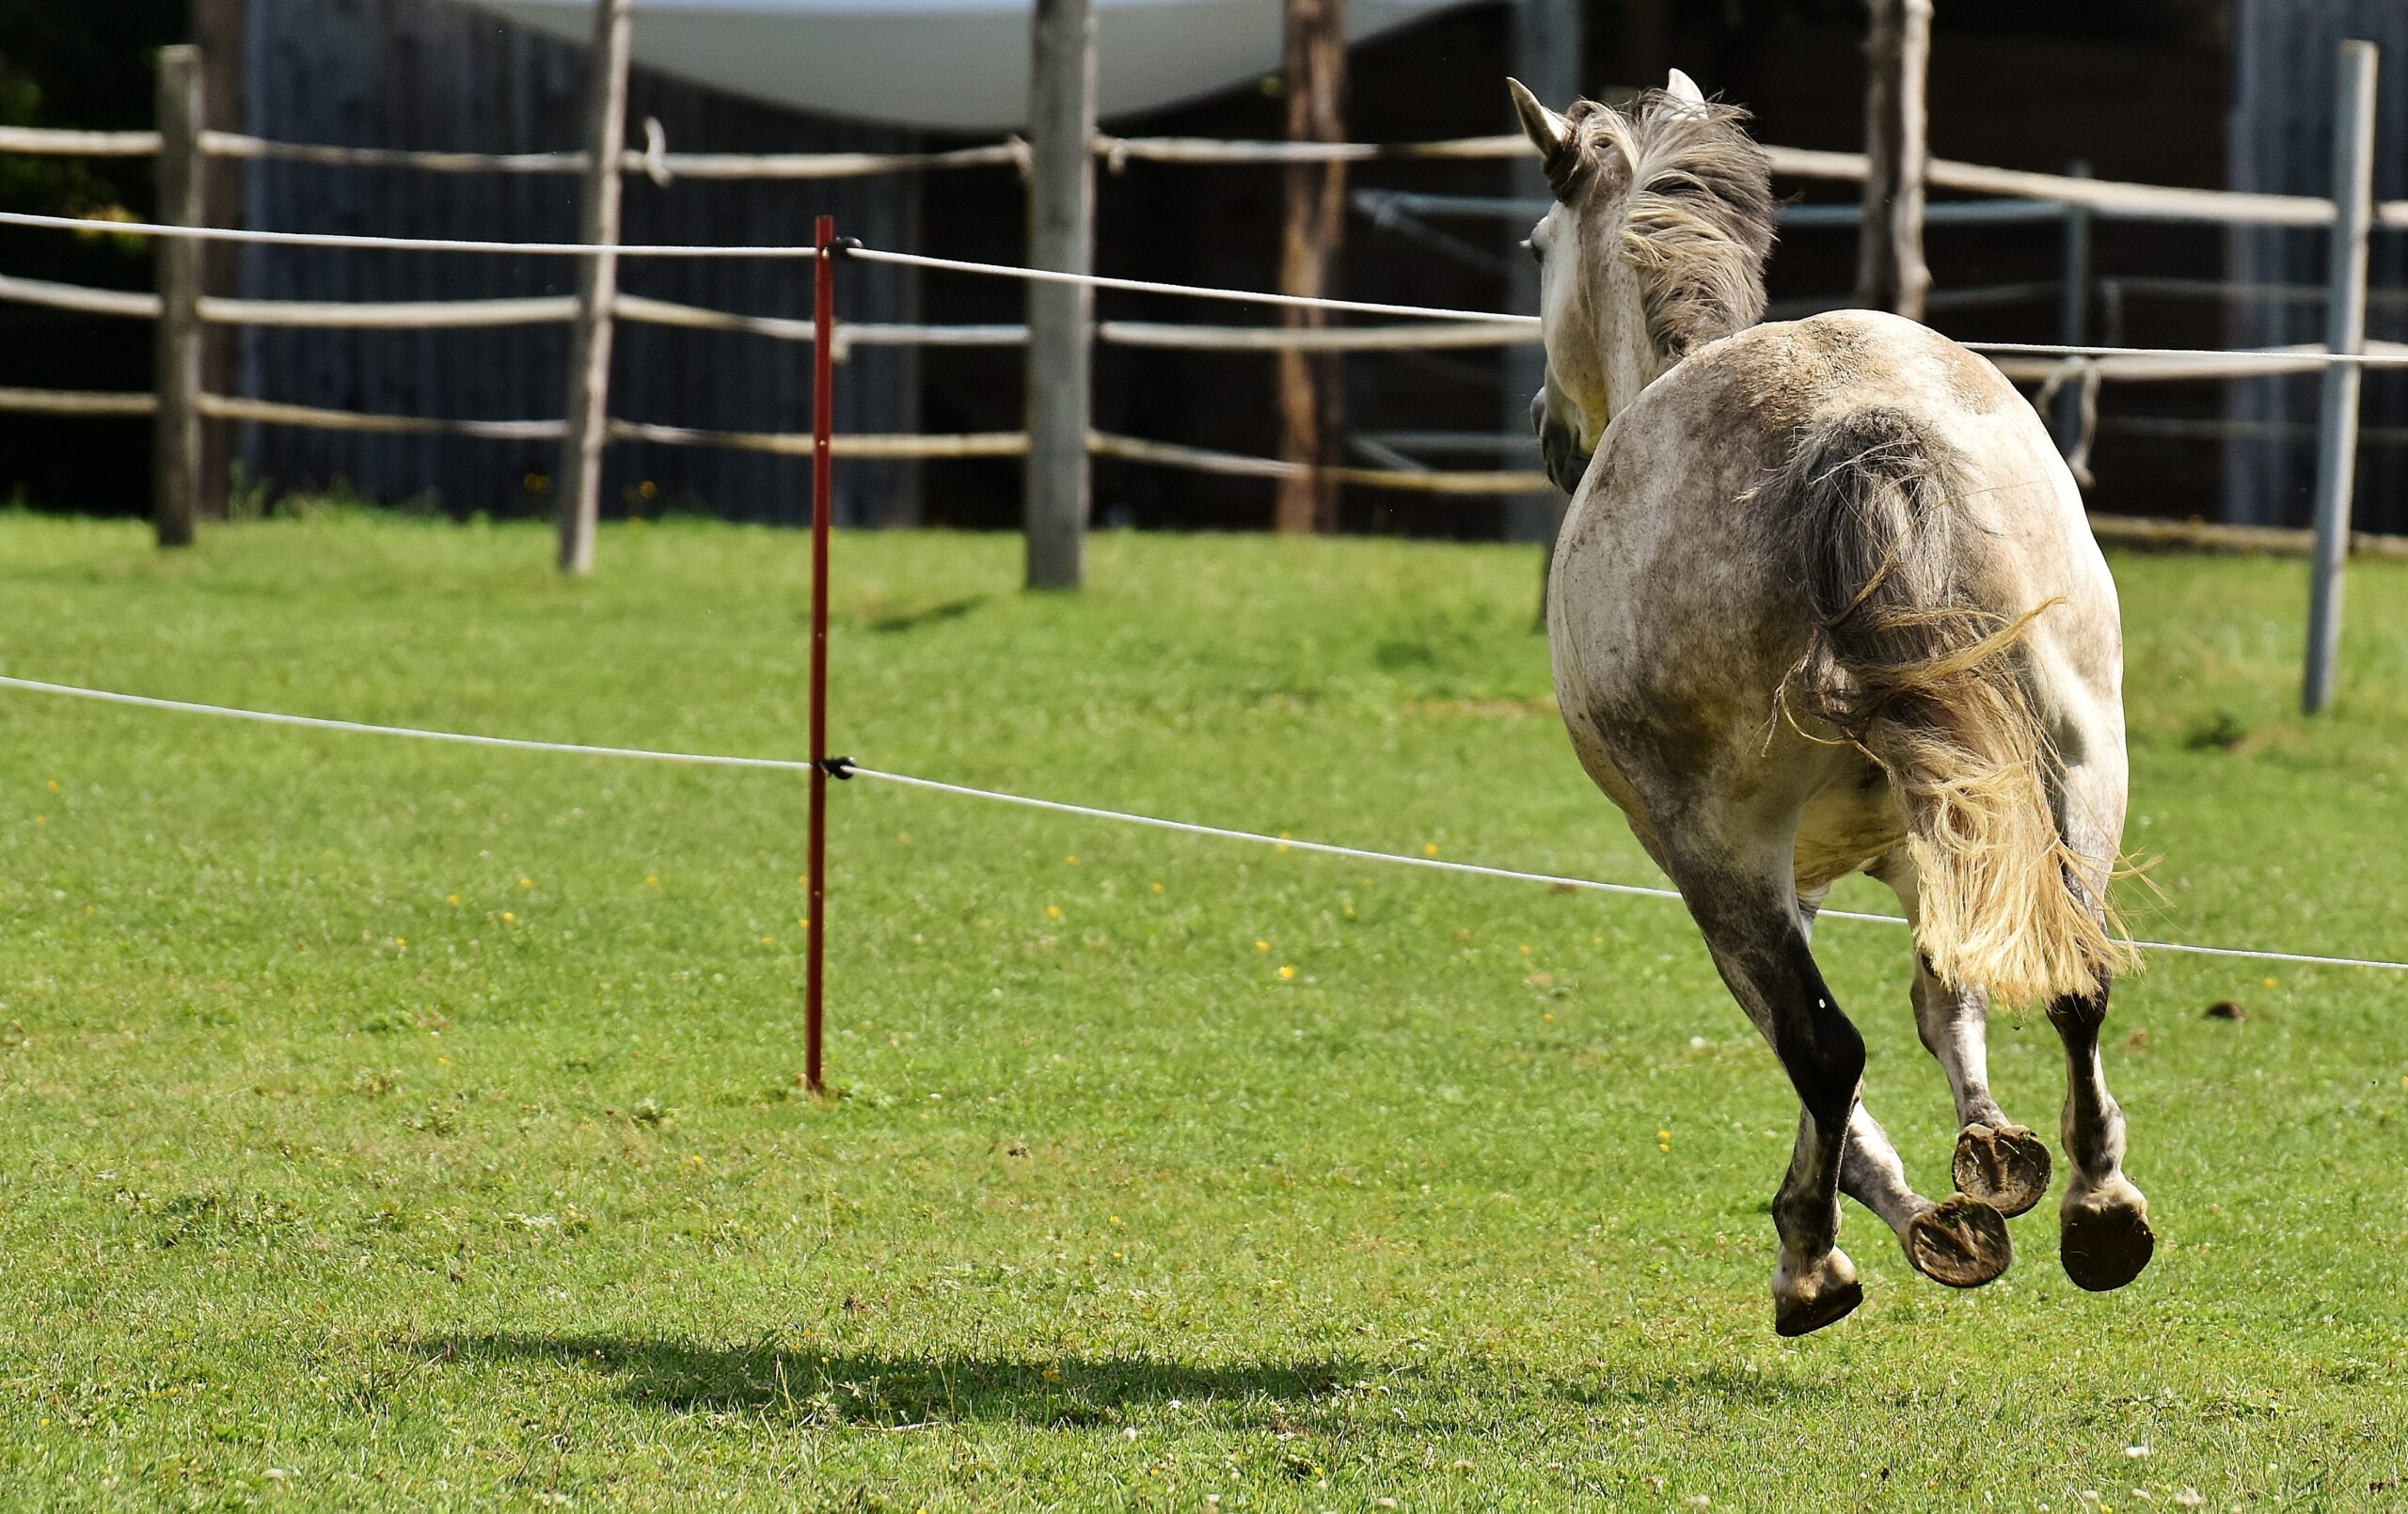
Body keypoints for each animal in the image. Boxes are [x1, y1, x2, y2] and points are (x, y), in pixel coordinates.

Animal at [1512, 73, 2157, 1338]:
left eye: (1535, 247)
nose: (1549, 432)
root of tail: (1853, 430)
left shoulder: (1741, 878)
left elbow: (1830, 1063)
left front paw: (1898, 1212)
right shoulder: (1942, 823)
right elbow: (1950, 997)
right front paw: (1988, 1155)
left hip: (1719, 856)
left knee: (1823, 1046)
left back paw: (1811, 1262)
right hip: (2072, 773)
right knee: (2076, 976)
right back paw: (2100, 1206)